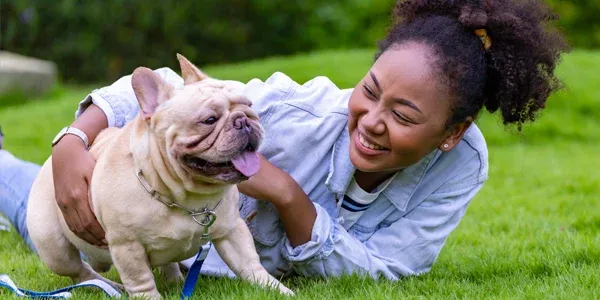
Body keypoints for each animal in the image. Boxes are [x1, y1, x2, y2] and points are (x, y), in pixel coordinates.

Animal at [25, 54, 292, 298]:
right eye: (209, 120)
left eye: (250, 107)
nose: (244, 121)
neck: (185, 197)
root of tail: (48, 164)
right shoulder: (127, 246)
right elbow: (140, 280)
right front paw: (148, 297)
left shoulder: (231, 229)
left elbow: (250, 264)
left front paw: (276, 290)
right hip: (54, 249)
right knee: (79, 271)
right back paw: (106, 285)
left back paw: (173, 281)